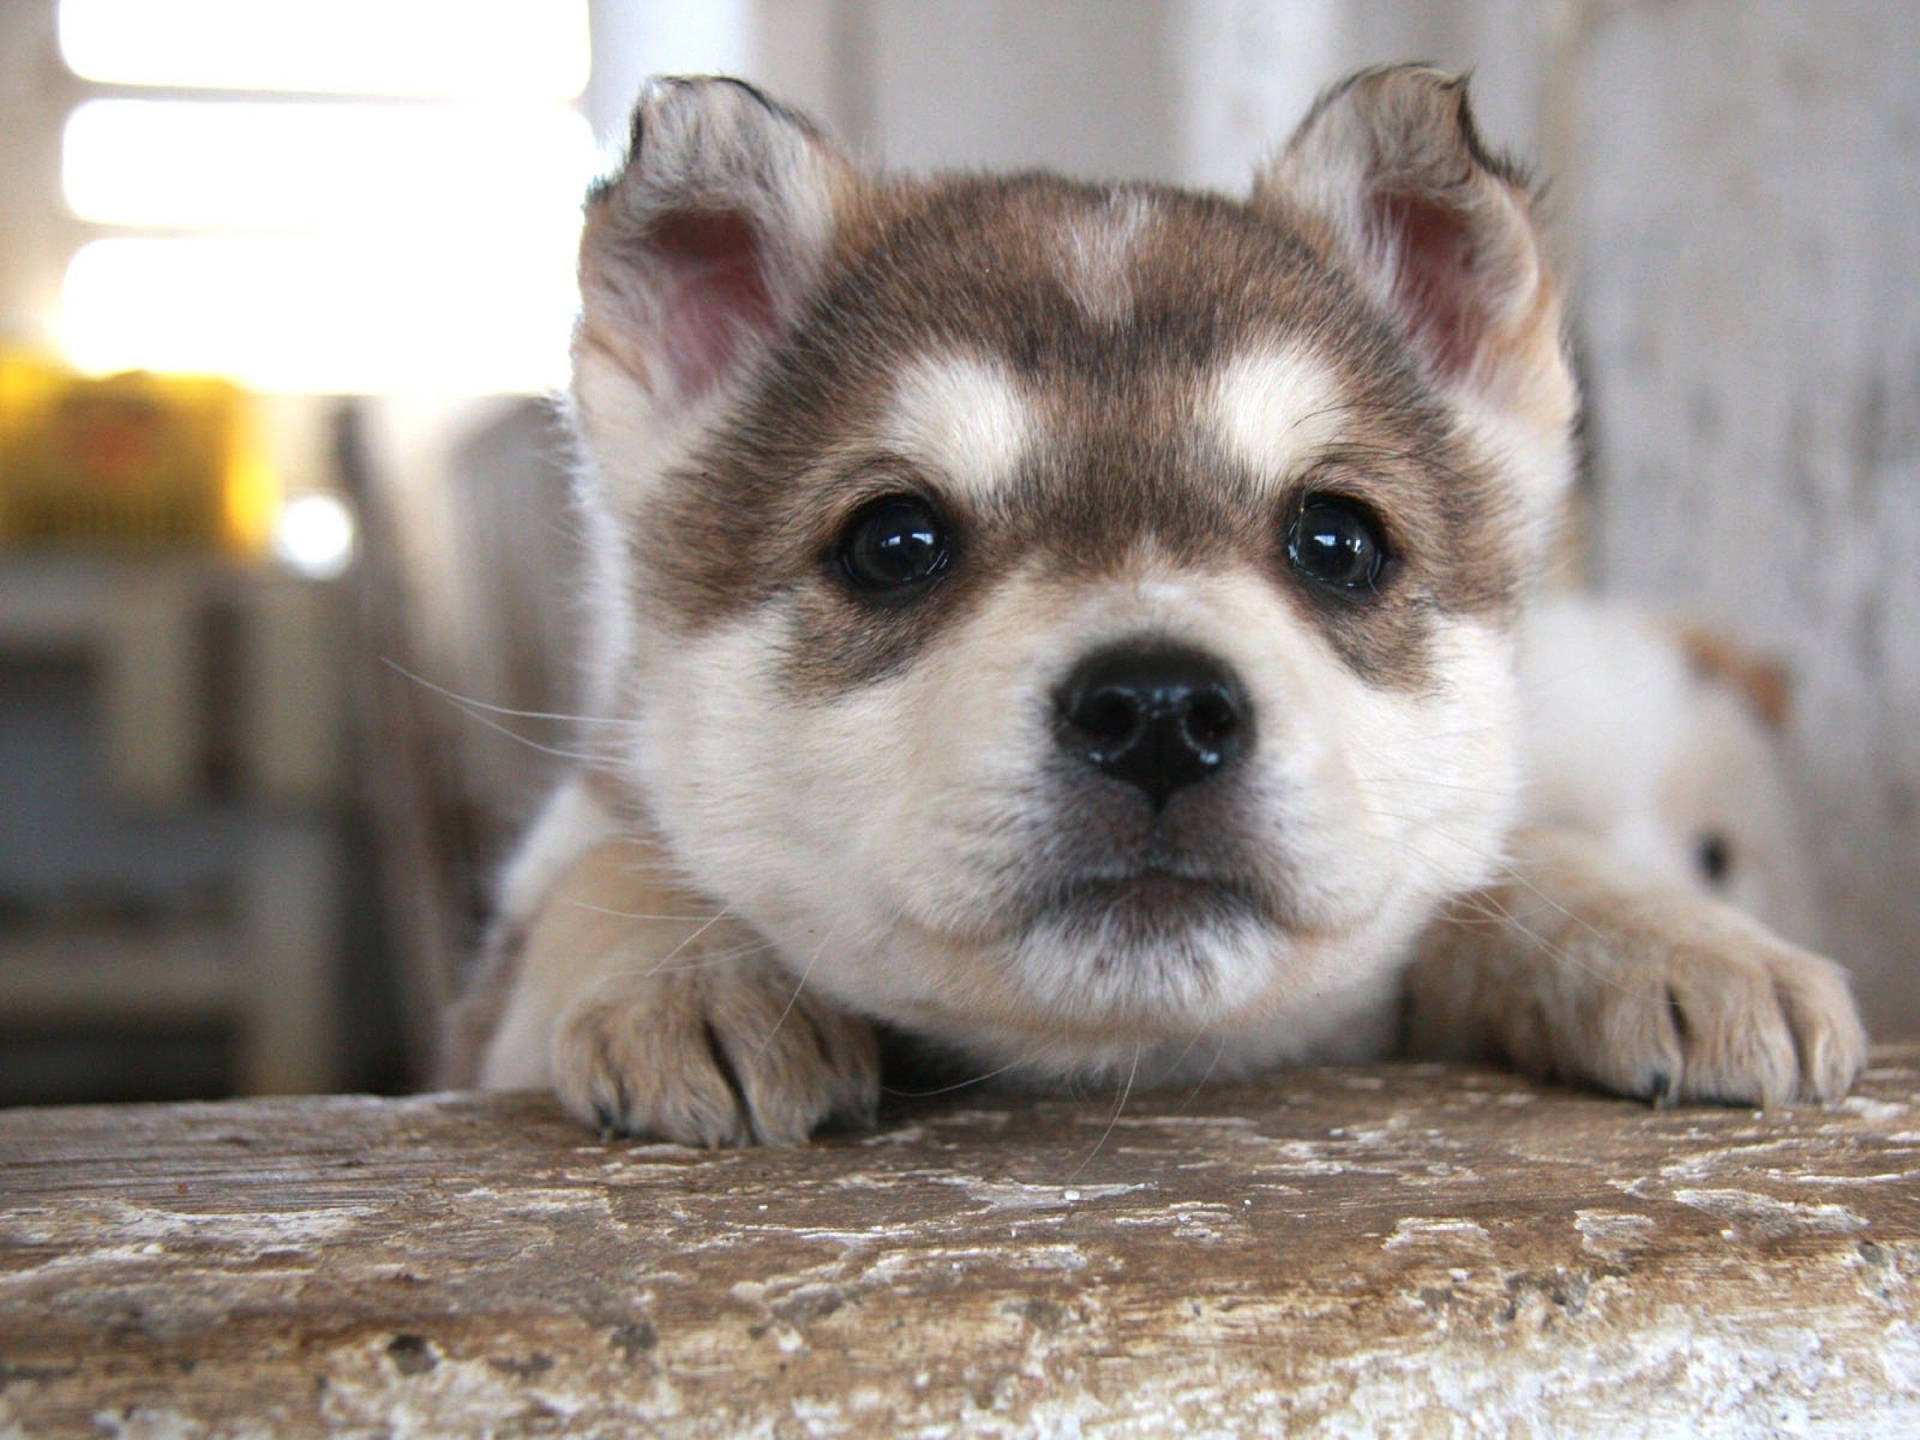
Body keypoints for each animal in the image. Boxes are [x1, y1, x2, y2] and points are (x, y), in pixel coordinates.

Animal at [445, 67, 1858, 1144]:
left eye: (1338, 541)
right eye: (893, 543)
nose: (1161, 712)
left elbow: (1503, 873)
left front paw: (1674, 934)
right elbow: (613, 866)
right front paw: (689, 972)